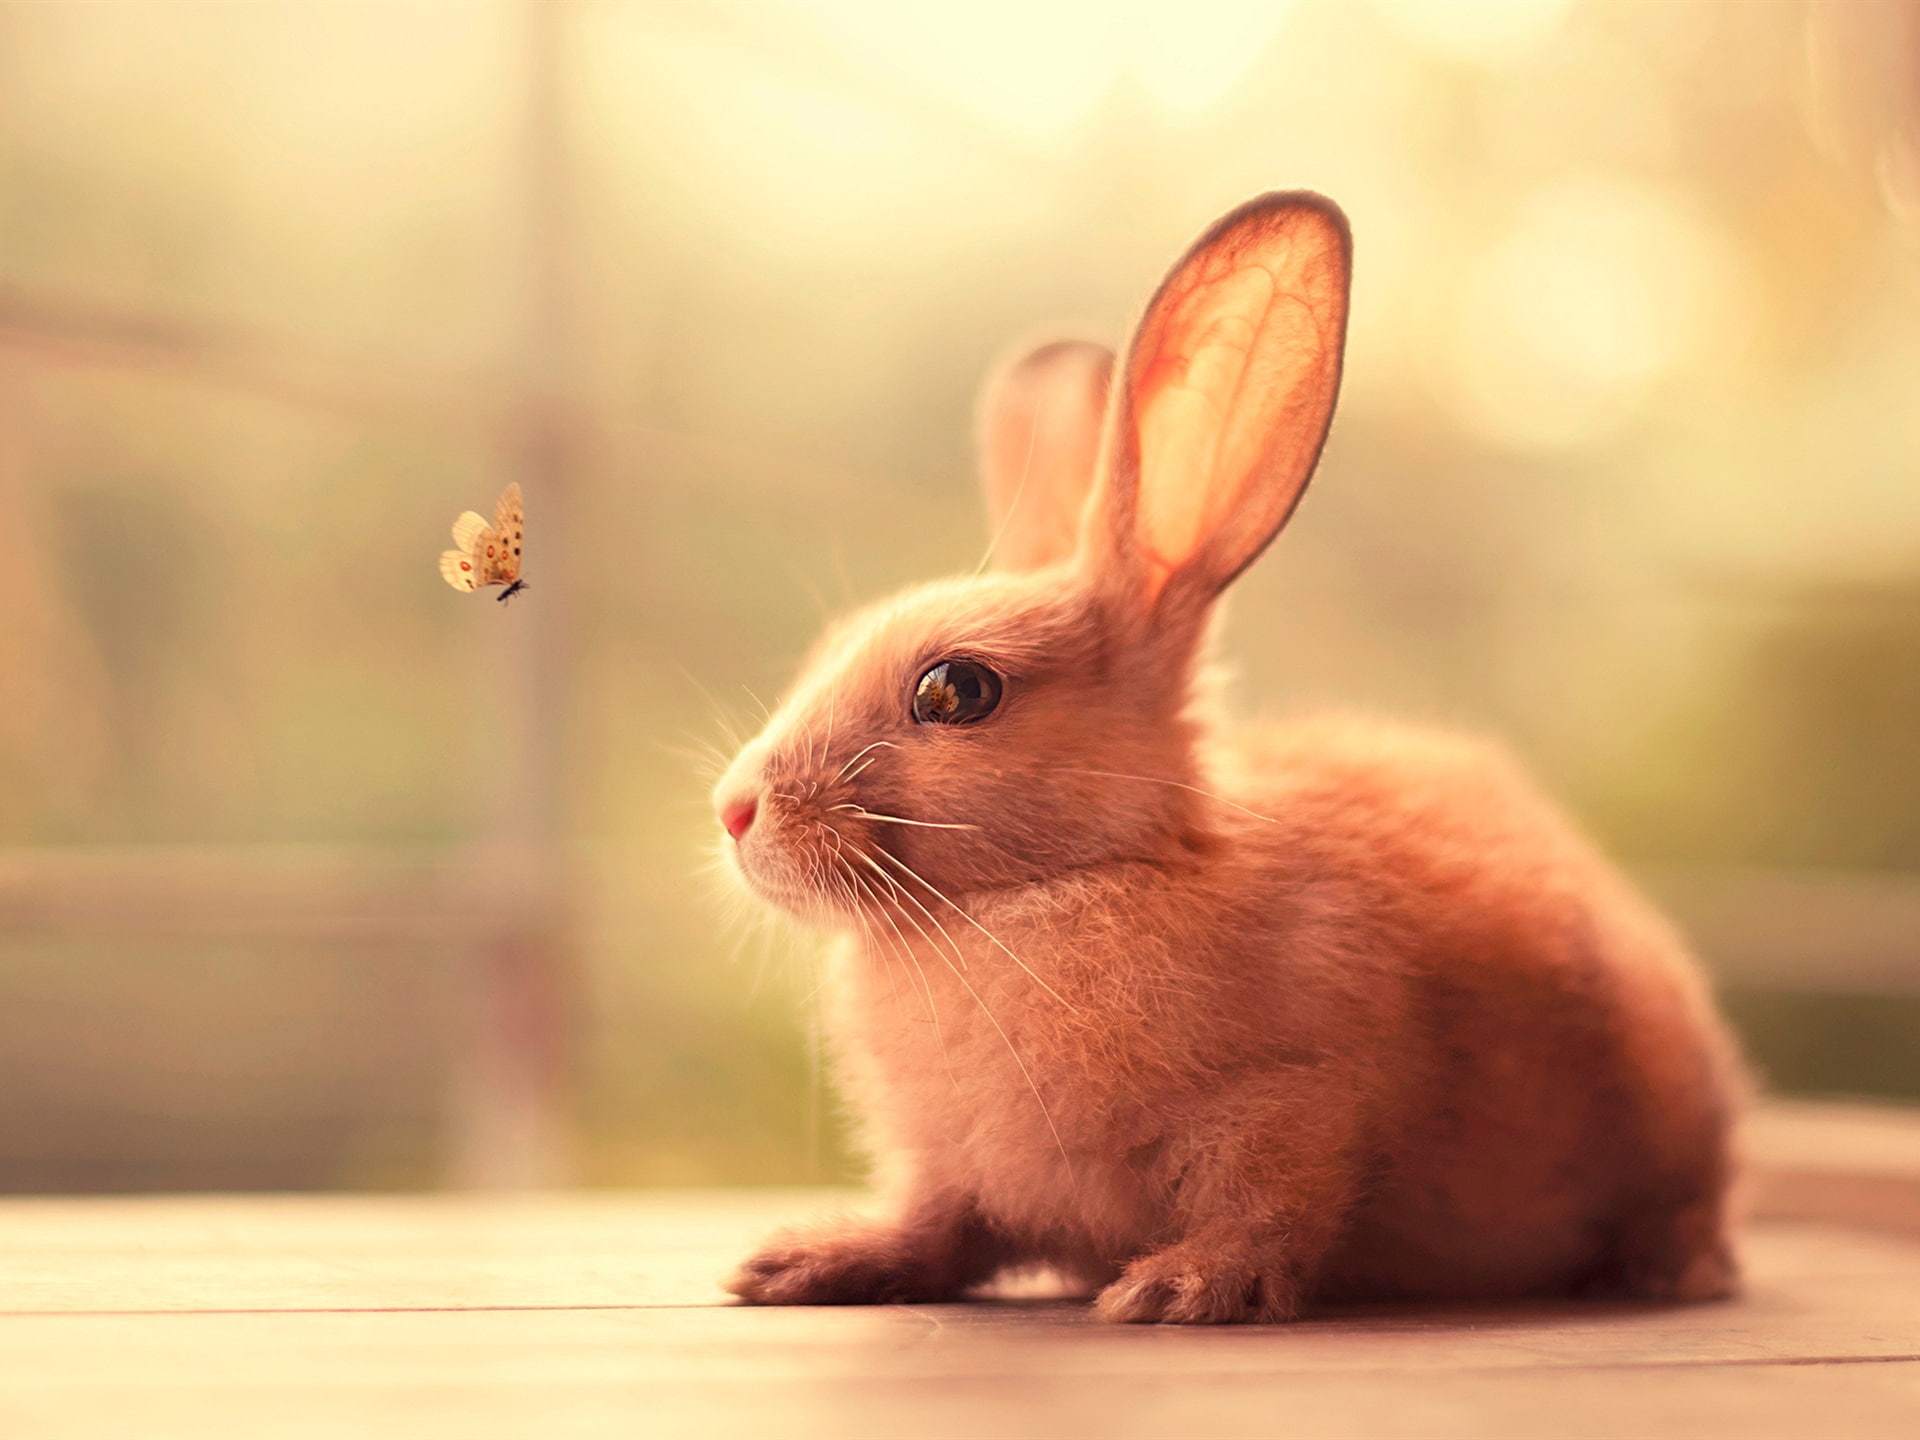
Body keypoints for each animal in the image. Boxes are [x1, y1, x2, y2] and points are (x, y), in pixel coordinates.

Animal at [710, 192, 1745, 1324]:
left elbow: (1268, 1211)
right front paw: (805, 1264)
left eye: (956, 691)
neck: (1052, 888)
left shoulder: (1296, 1105)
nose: (735, 811)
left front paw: (1176, 1289)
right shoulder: (952, 1174)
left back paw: (1672, 1270)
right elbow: (936, 1229)